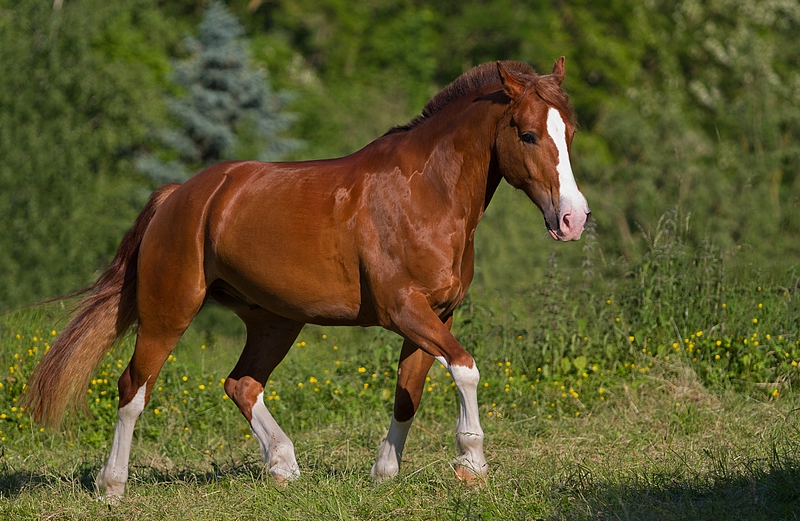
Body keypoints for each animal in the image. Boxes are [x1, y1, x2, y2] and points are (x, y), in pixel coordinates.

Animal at [23, 54, 588, 498]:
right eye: (528, 133)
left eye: (570, 132)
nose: (573, 219)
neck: (425, 194)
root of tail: (179, 195)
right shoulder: (404, 310)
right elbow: (466, 367)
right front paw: (472, 464)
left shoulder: (435, 316)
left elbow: (408, 393)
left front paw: (384, 474)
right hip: (169, 312)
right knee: (134, 388)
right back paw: (112, 485)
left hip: (274, 321)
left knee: (241, 384)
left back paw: (284, 467)